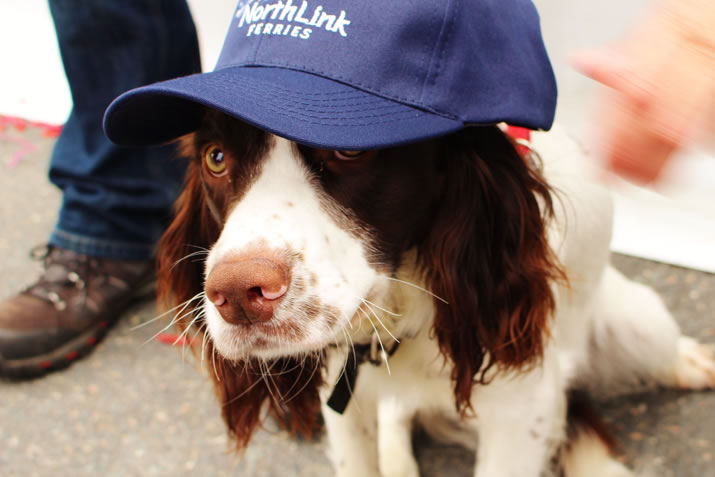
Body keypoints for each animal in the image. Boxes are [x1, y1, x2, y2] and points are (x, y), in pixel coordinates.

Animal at [152, 109, 715, 476]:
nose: (236, 294)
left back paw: (694, 363)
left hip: (640, 322)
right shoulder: (342, 391)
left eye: (352, 149)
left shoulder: (521, 408)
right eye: (216, 157)